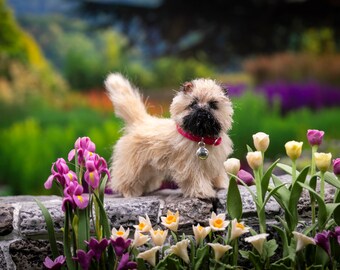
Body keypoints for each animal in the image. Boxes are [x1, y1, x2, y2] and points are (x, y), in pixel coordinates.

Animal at [105, 74, 234, 198]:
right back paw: (129, 192)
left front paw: (222, 185)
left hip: (149, 168)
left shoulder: (215, 163)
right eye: (193, 104)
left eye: (212, 105)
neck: (201, 138)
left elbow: (219, 175)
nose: (202, 111)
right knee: (124, 178)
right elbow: (198, 181)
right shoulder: (191, 167)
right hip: (133, 166)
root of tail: (140, 121)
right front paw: (203, 193)